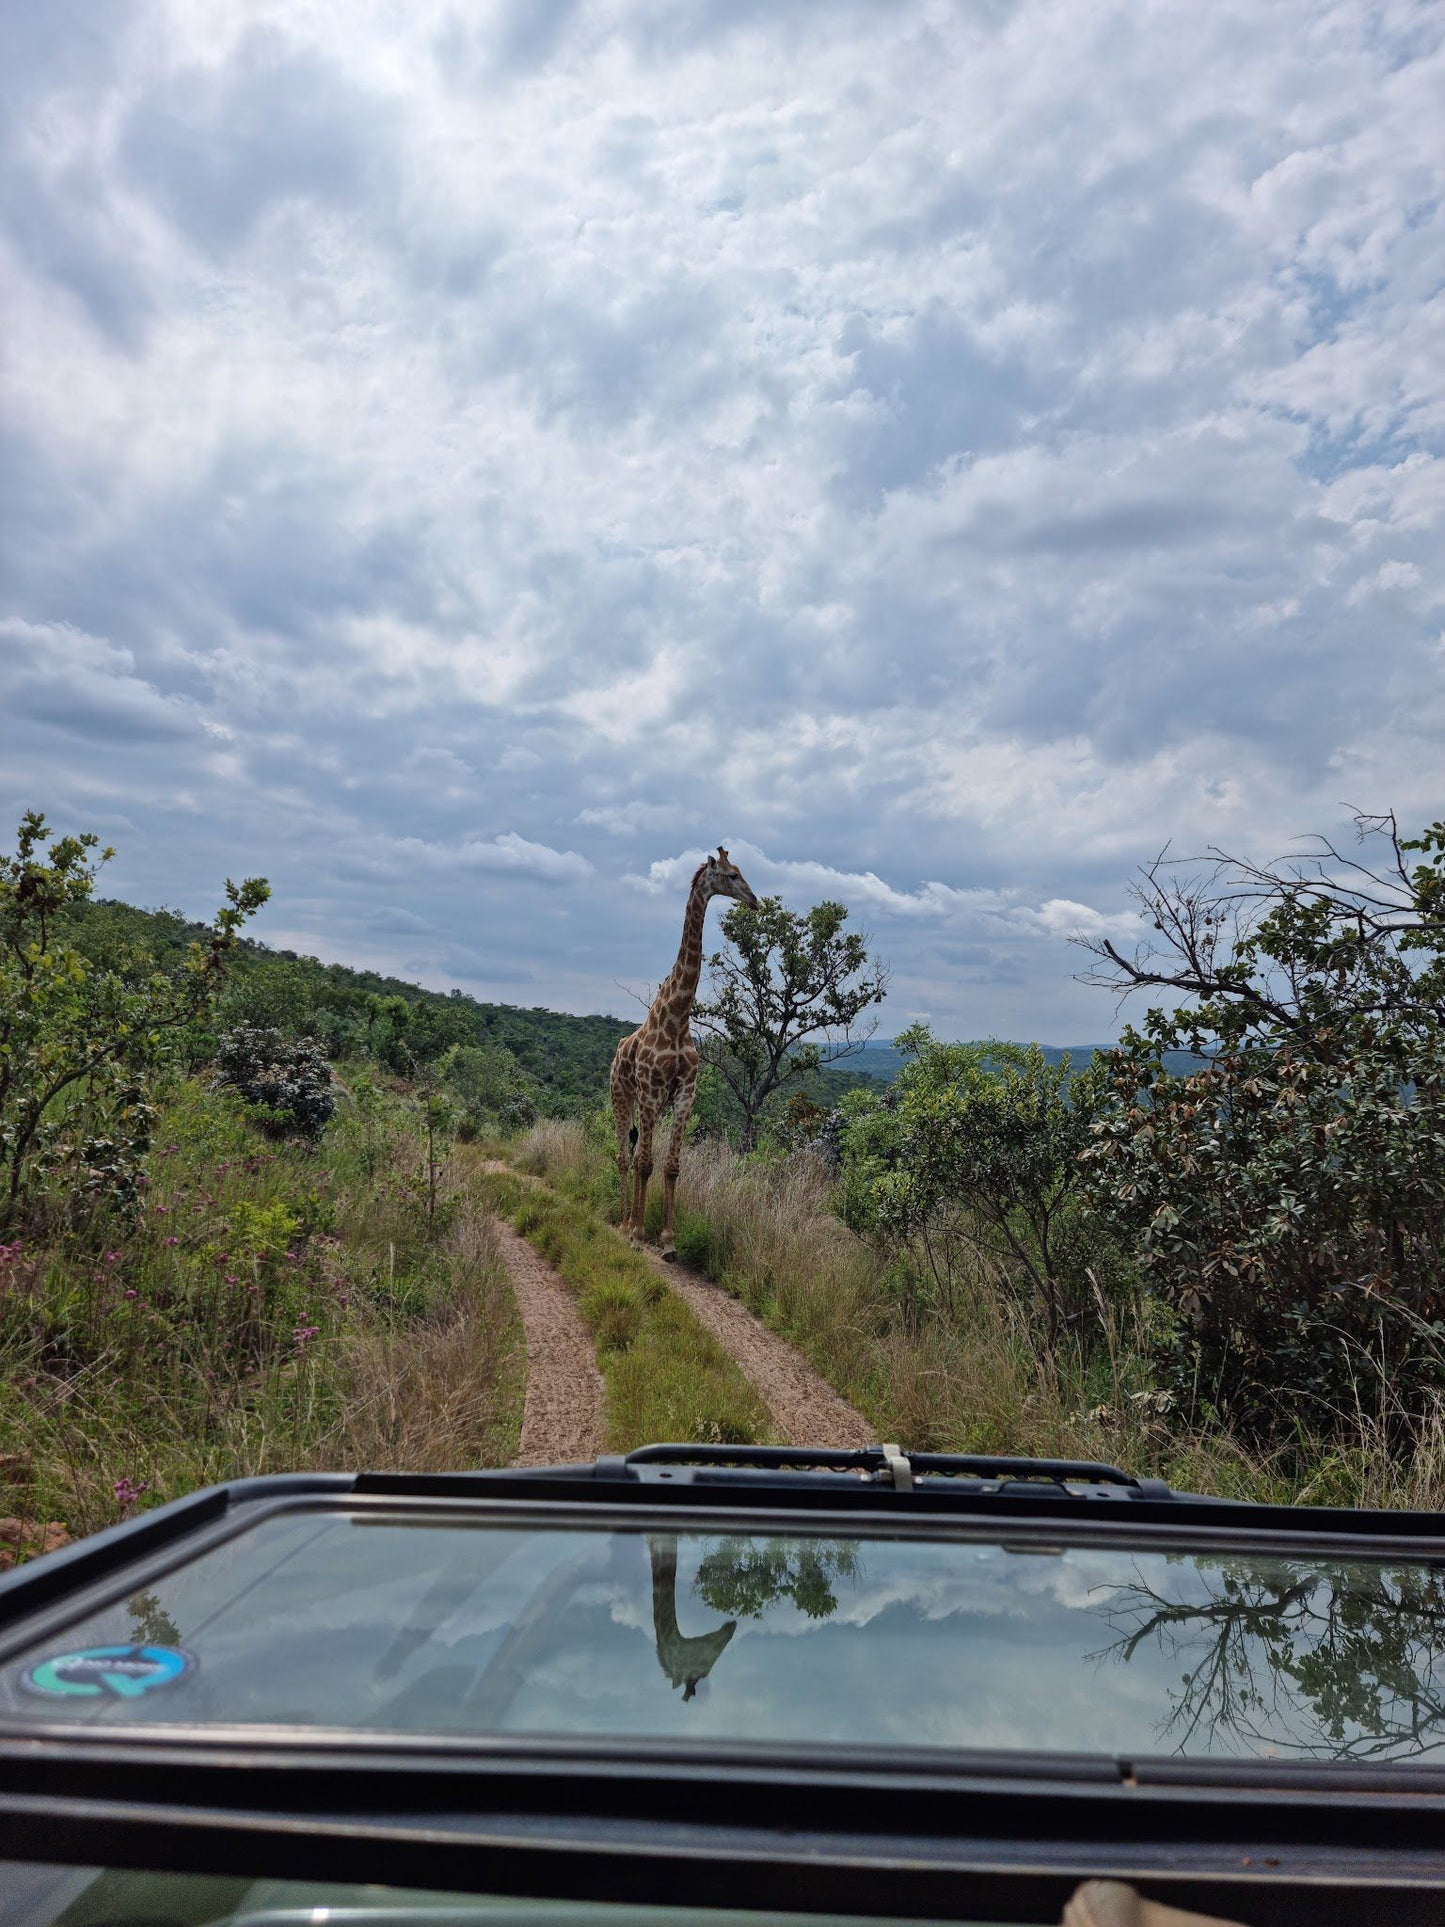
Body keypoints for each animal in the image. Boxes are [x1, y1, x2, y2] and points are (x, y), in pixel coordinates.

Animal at [612, 844, 762, 1248]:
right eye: (732, 874)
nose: (755, 901)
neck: (678, 1018)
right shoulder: (650, 1093)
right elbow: (645, 1163)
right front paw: (638, 1232)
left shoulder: (684, 1095)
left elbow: (671, 1166)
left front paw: (667, 1237)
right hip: (621, 1096)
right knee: (625, 1157)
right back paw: (622, 1223)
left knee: (635, 1152)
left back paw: (630, 1221)